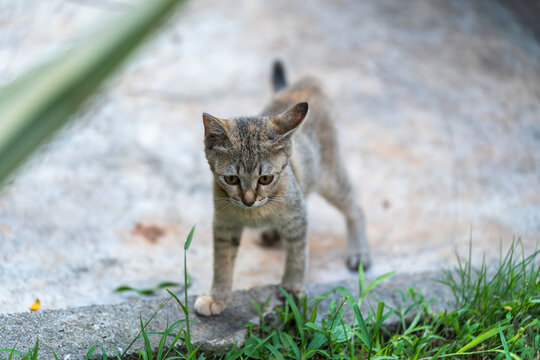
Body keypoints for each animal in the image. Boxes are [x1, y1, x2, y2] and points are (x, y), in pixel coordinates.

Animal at [194, 63, 372, 316]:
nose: (248, 200)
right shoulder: (224, 224)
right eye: (231, 179)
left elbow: (298, 255)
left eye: (266, 178)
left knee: (355, 206)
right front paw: (217, 297)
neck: (254, 213)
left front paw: (292, 289)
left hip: (328, 176)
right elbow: (222, 262)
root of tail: (304, 83)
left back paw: (359, 252)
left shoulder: (297, 215)